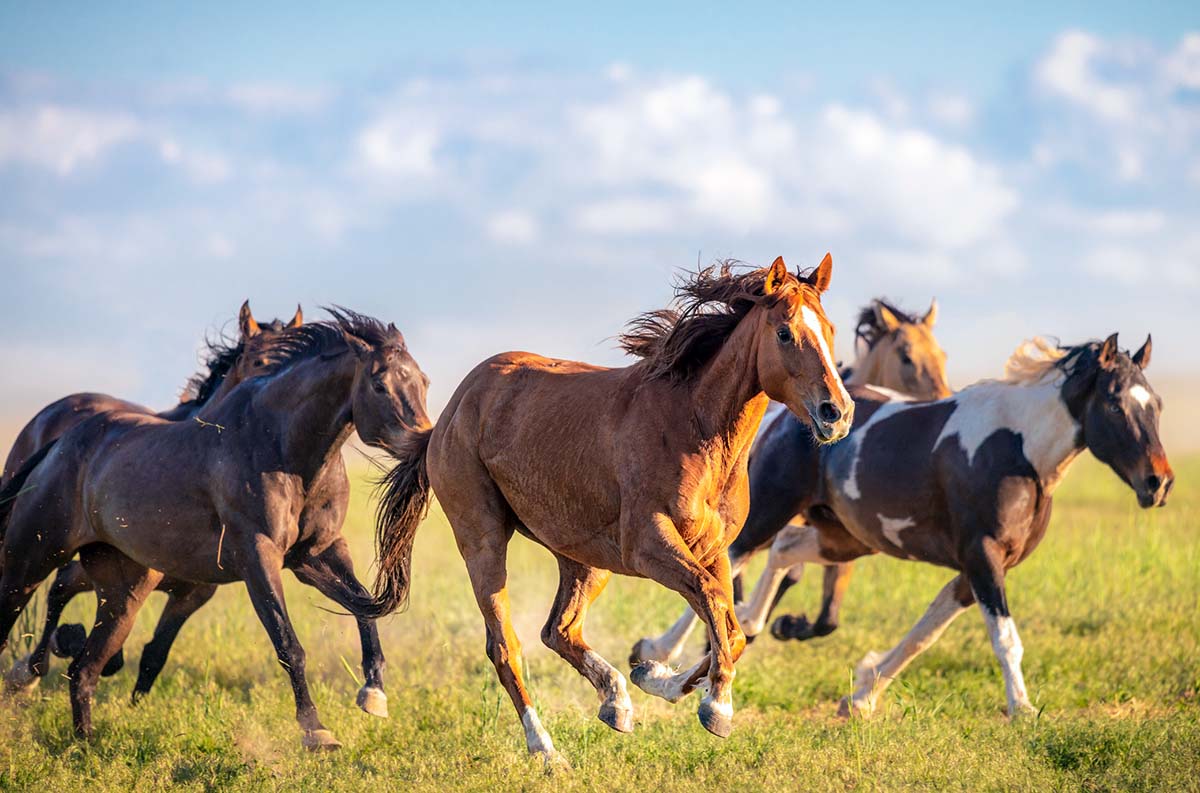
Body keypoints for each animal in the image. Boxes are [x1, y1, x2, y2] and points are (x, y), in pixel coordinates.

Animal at [363, 255, 853, 765]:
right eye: (785, 332)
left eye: (830, 328)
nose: (837, 412)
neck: (695, 430)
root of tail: (451, 412)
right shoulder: (648, 546)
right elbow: (715, 604)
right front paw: (715, 706)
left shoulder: (713, 549)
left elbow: (729, 624)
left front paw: (657, 677)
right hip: (484, 540)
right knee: (505, 646)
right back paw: (546, 750)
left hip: (584, 559)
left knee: (558, 630)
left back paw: (616, 701)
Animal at [630, 297, 951, 666]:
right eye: (906, 357)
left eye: (942, 355)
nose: (944, 397)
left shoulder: (837, 533)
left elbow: (826, 615)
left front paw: (786, 625)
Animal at [737, 334, 1172, 718]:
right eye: (1114, 405)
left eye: (1157, 404)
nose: (1159, 482)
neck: (1019, 452)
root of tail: (784, 415)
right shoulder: (983, 557)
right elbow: (1005, 640)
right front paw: (1022, 709)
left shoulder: (976, 569)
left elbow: (923, 635)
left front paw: (860, 698)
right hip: (770, 510)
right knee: (735, 558)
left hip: (845, 537)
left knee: (783, 551)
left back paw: (753, 622)